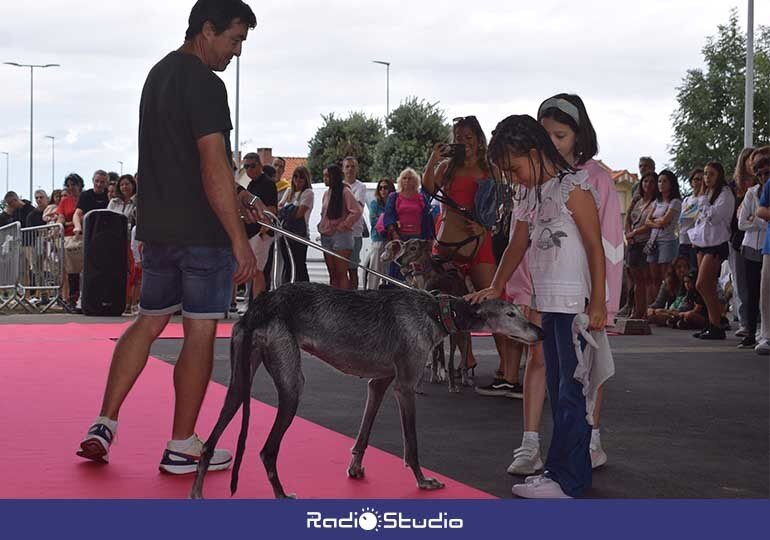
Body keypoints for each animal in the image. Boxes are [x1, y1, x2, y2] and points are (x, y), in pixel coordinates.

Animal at [190, 280, 544, 500]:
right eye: (511, 314)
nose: (540, 332)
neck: (437, 310)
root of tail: (260, 306)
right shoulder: (404, 387)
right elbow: (412, 444)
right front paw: (422, 480)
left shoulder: (379, 383)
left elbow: (364, 433)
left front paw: (356, 469)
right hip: (292, 387)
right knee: (267, 450)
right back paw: (280, 494)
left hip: (238, 385)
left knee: (209, 444)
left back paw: (197, 492)